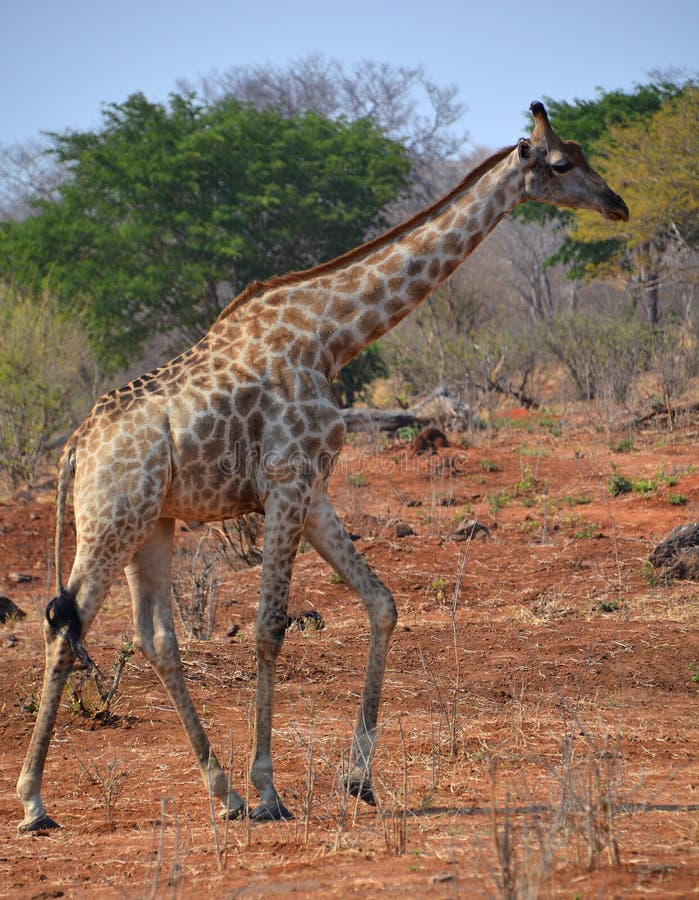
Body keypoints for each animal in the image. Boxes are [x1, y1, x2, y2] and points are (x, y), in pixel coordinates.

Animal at [16, 103, 628, 828]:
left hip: (152, 525)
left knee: (156, 638)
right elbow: (268, 629)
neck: (333, 334)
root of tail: (74, 447)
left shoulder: (314, 491)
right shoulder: (287, 483)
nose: (617, 203)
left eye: (583, 153)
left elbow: (382, 603)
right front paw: (270, 790)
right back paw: (36, 802)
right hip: (110, 521)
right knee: (65, 625)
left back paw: (220, 793)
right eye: (560, 163)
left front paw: (357, 779)